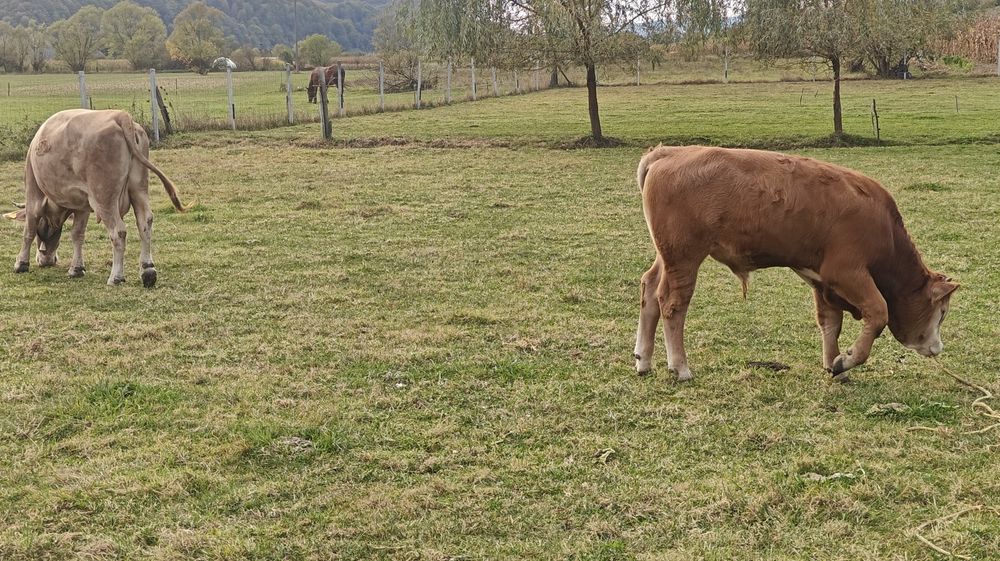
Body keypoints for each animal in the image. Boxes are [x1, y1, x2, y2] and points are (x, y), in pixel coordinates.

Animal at [12, 109, 190, 287]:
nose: (46, 260)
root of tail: (120, 116)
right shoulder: (82, 207)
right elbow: (77, 234)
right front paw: (76, 268)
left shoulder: (33, 194)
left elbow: (29, 231)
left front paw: (21, 263)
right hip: (138, 189)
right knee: (145, 223)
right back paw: (148, 270)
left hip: (104, 199)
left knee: (118, 232)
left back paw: (116, 276)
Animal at [633, 146, 958, 382]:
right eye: (941, 312)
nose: (938, 347)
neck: (884, 228)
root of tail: (669, 152)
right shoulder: (846, 273)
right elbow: (878, 313)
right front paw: (847, 361)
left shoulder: (822, 280)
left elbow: (830, 322)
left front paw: (833, 364)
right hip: (684, 257)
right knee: (672, 303)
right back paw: (680, 367)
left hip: (667, 256)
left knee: (649, 289)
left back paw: (643, 360)